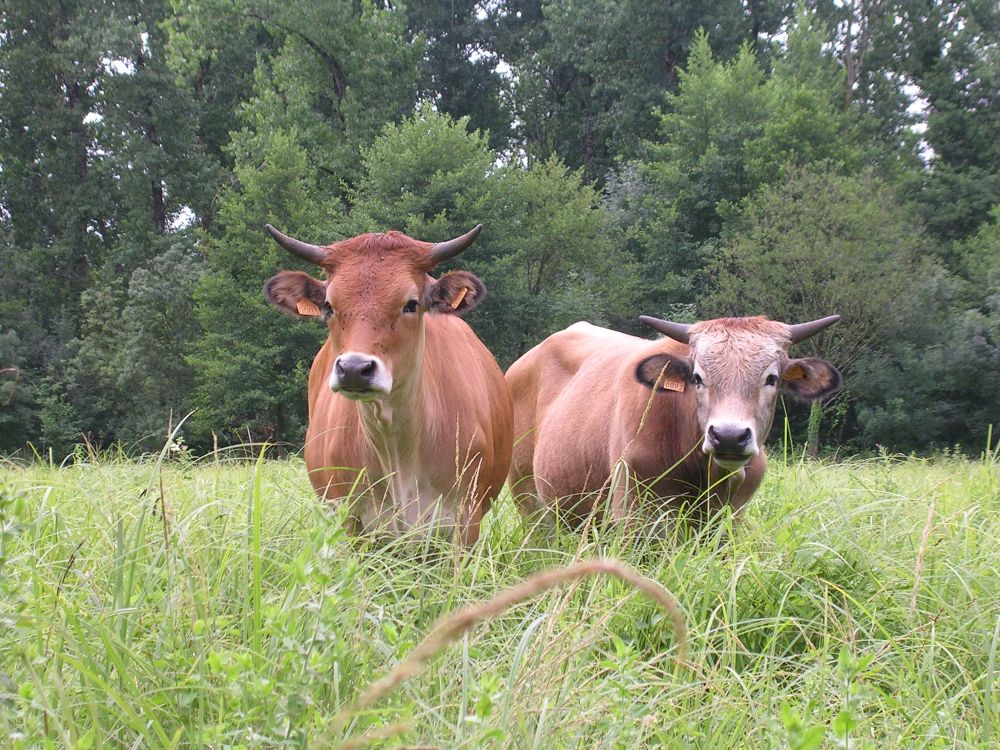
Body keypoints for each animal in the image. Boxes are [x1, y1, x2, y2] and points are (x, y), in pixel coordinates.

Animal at [262, 224, 513, 544]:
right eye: (329, 306)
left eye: (411, 304)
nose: (354, 369)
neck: (396, 444)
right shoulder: (351, 521)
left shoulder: (464, 521)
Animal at [506, 315, 842, 531]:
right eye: (697, 377)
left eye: (771, 378)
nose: (728, 435)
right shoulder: (633, 511)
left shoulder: (733, 516)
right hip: (528, 498)